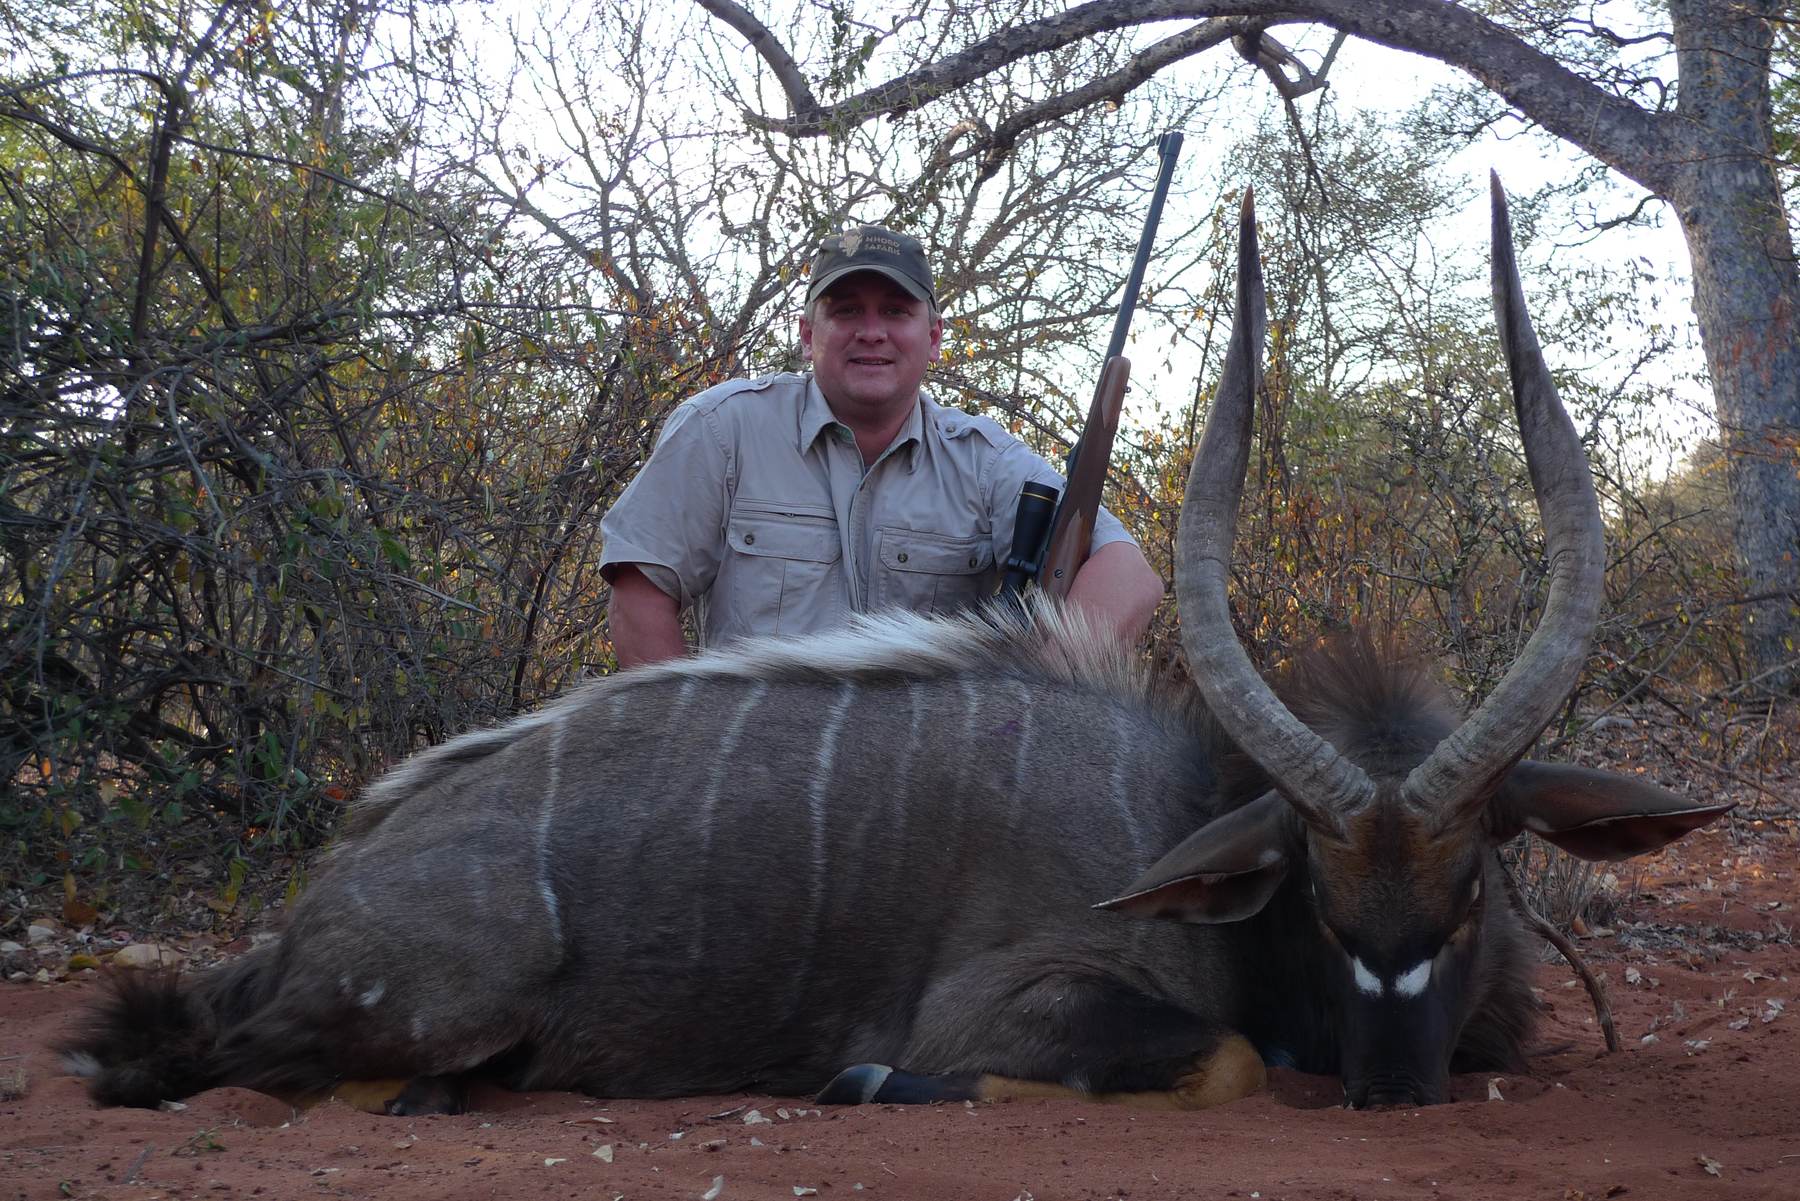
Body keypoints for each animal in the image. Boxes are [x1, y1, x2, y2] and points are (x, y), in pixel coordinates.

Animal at [62, 178, 1730, 1114]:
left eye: (1477, 887)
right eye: (1321, 902)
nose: (1391, 1089)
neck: (1187, 810)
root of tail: (322, 897)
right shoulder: (1020, 1001)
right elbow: (1229, 1057)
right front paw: (869, 1076)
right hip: (447, 997)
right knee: (224, 1062)